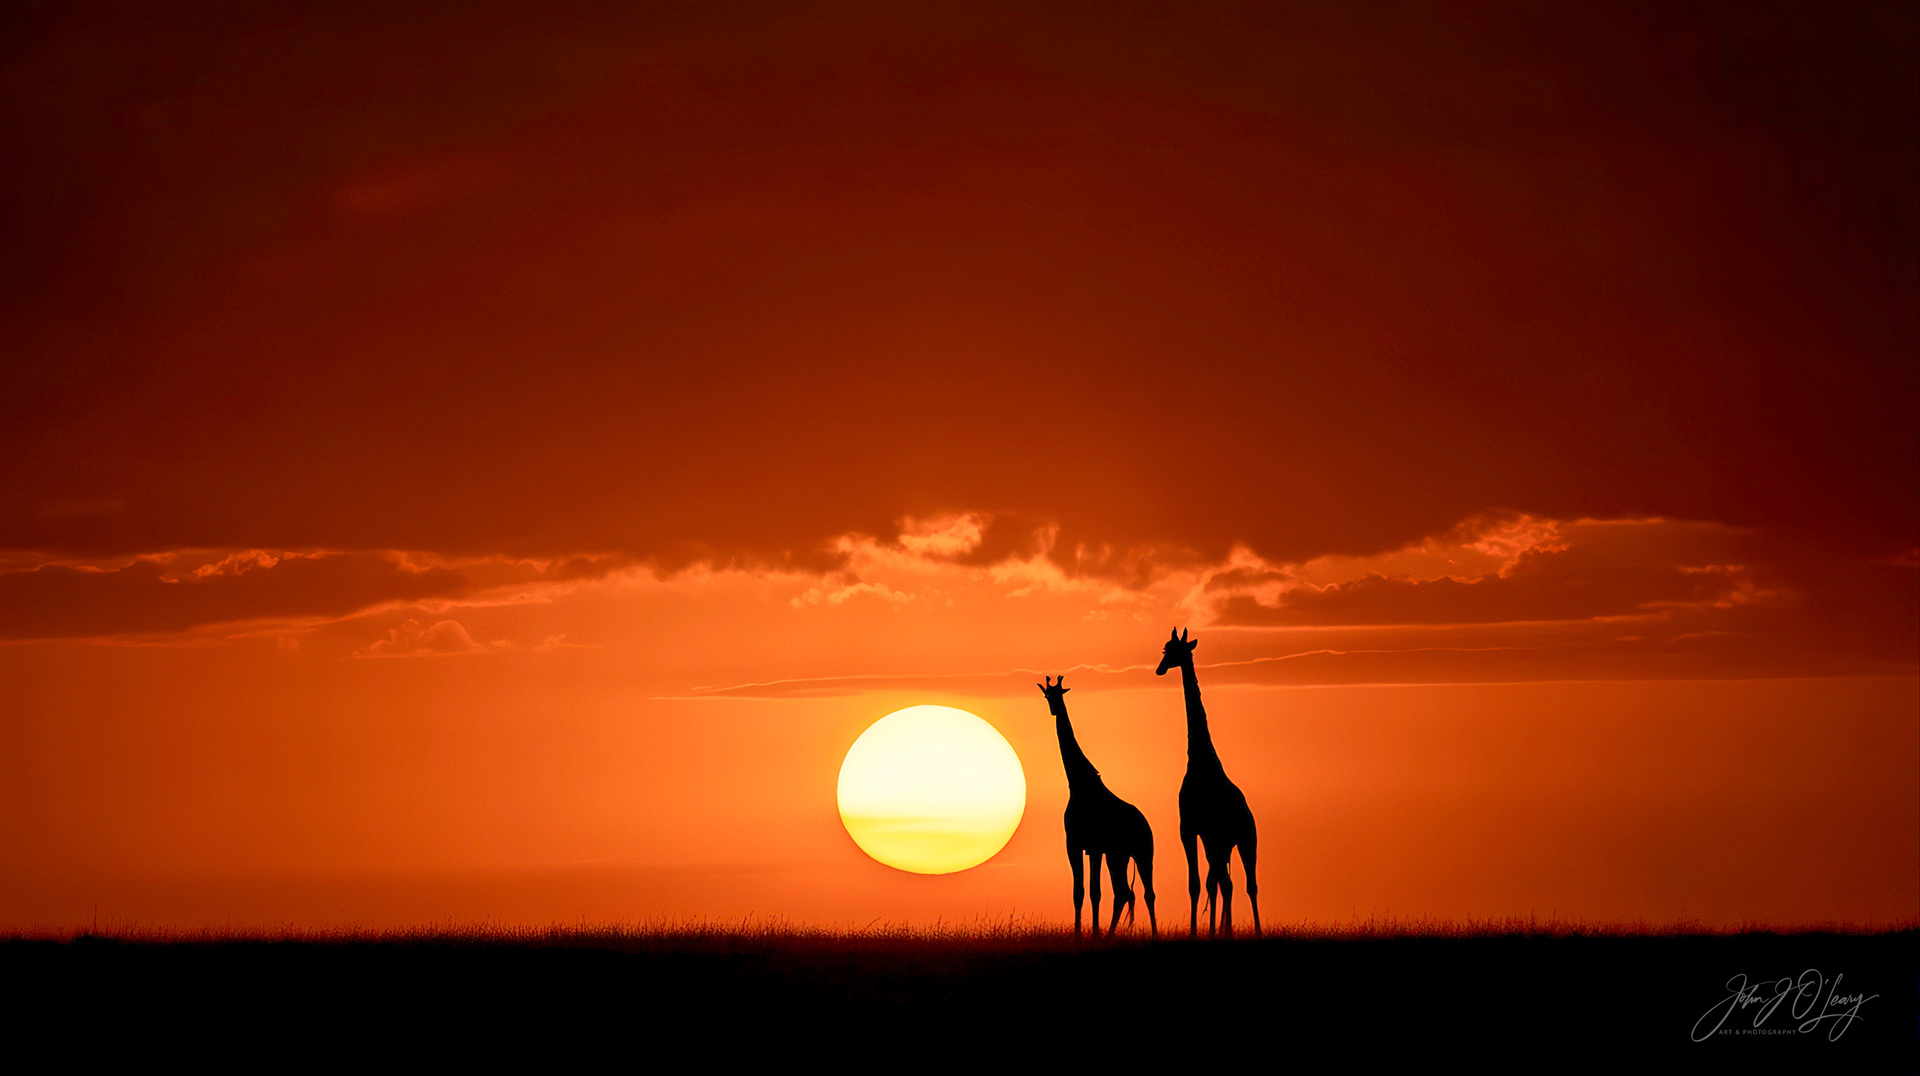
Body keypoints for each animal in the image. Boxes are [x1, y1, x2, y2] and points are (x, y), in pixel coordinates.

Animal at [1039, 675, 1157, 938]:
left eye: (1060, 693)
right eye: (1047, 695)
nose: (1054, 709)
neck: (1080, 786)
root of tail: (1146, 824)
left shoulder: (1090, 846)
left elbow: (1093, 892)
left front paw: (1089, 933)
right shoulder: (1080, 845)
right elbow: (1081, 891)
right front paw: (1082, 934)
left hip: (1143, 852)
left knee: (1144, 892)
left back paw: (1152, 934)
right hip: (1119, 854)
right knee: (1125, 892)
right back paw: (1112, 933)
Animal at [1156, 628, 1260, 938]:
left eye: (1175, 650)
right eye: (1165, 649)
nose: (1160, 668)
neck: (1200, 761)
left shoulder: (1199, 829)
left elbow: (1206, 884)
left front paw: (1205, 932)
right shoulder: (1195, 831)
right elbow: (1200, 884)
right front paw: (1200, 931)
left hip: (1246, 840)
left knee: (1248, 885)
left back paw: (1255, 931)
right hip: (1220, 843)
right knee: (1224, 883)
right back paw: (1221, 931)